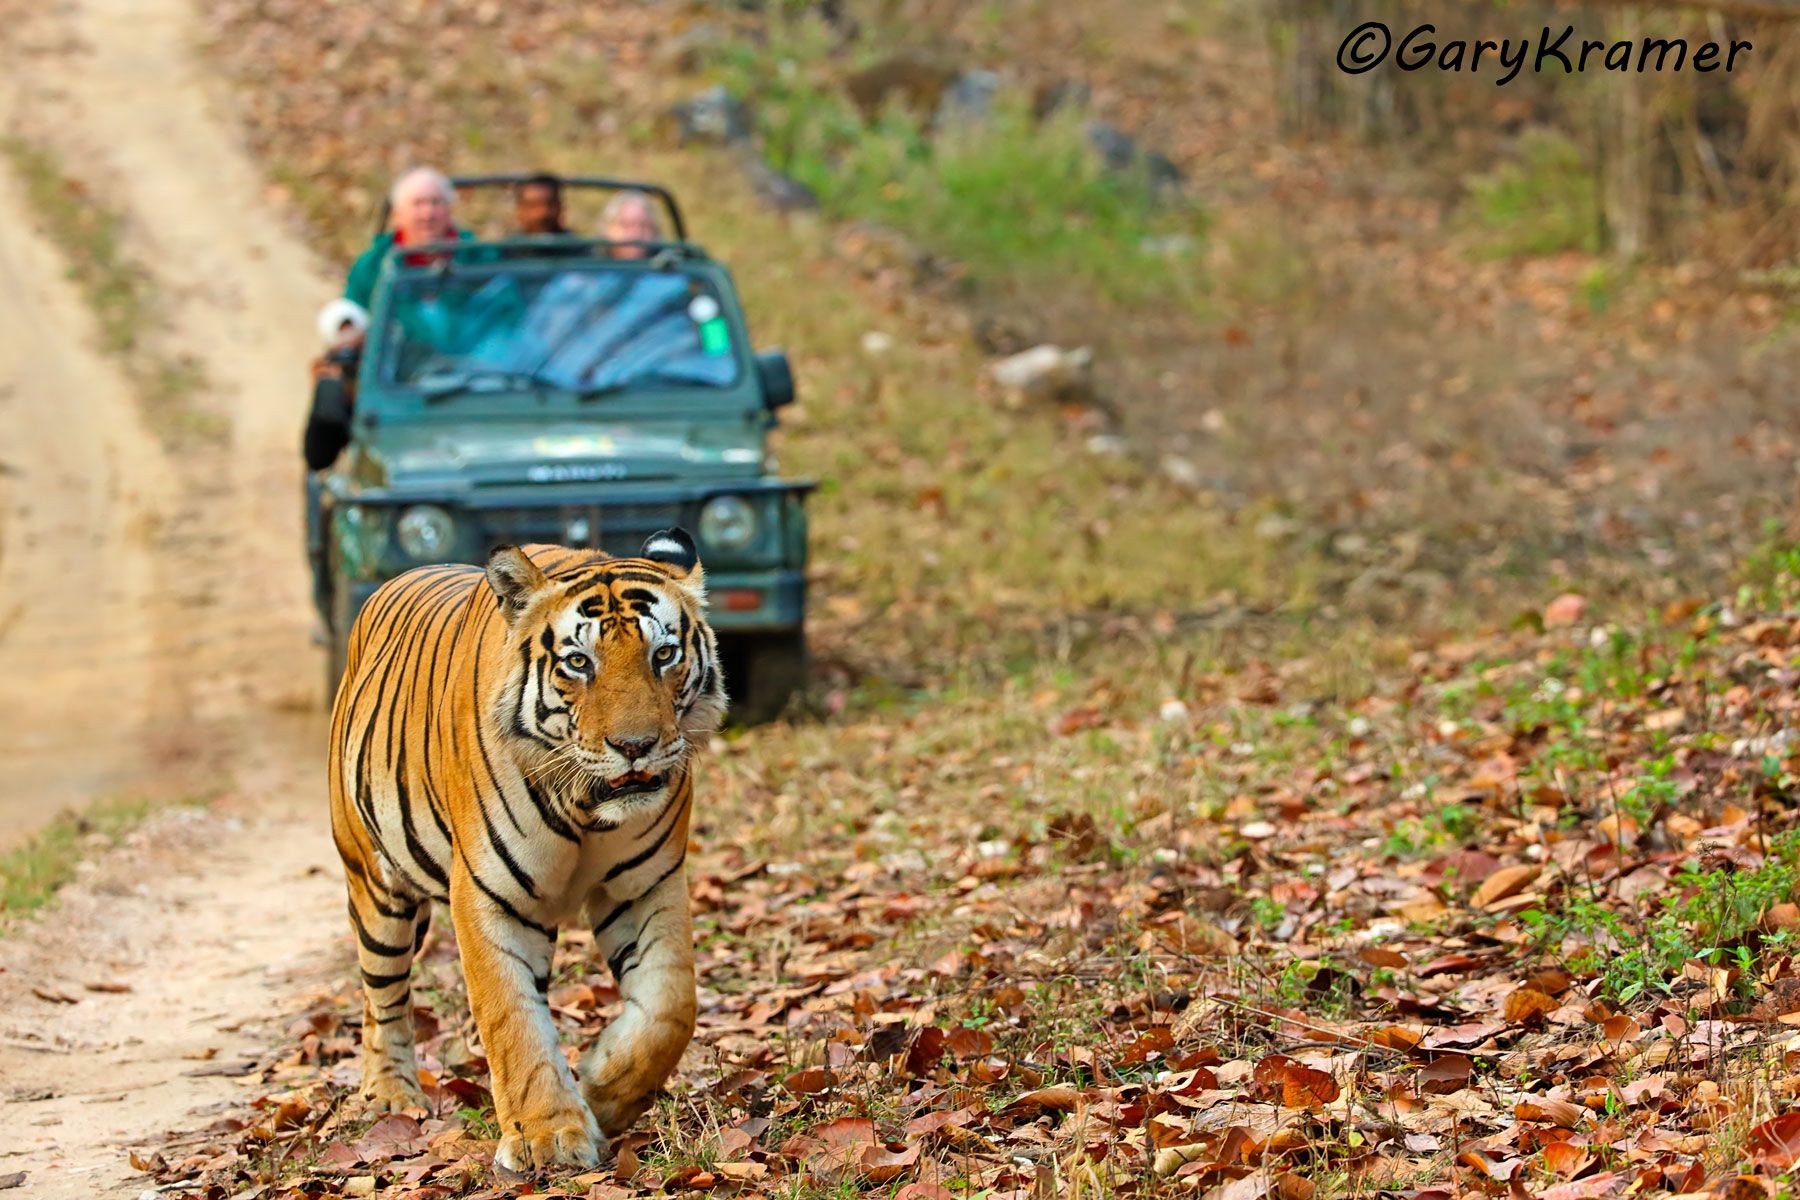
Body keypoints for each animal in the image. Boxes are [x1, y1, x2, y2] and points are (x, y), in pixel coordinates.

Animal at [327, 530, 726, 1171]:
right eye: (579, 663)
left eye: (663, 655)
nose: (635, 746)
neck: (587, 805)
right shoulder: (489, 895)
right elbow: (510, 1017)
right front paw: (548, 1138)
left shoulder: (646, 884)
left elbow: (671, 1004)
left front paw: (603, 1089)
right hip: (374, 884)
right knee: (381, 994)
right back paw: (389, 1097)